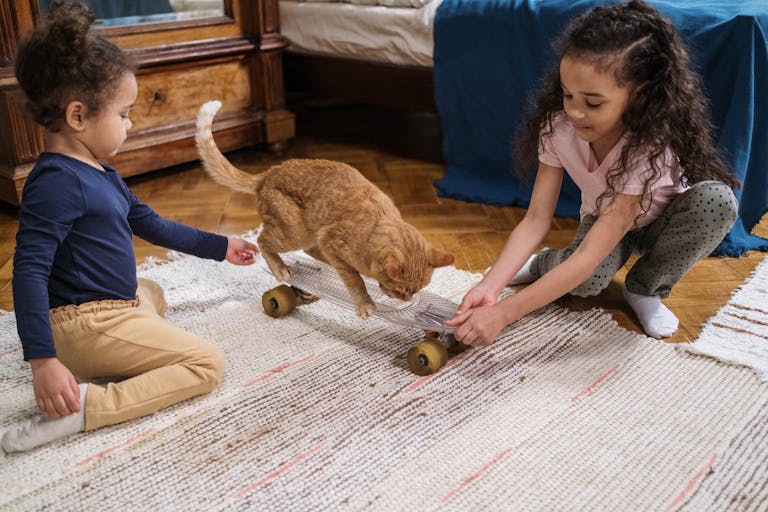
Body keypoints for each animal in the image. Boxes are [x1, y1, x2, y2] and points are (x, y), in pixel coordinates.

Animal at [195, 100, 452, 318]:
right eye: (401, 291)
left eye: (417, 290)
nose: (407, 300)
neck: (375, 225)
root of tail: (268, 173)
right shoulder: (331, 240)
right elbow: (355, 280)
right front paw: (365, 302)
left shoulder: (326, 240)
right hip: (295, 232)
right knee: (263, 240)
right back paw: (281, 268)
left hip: (309, 232)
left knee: (309, 250)